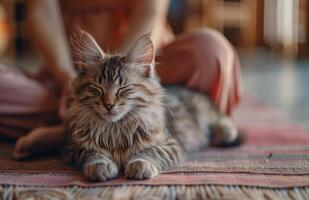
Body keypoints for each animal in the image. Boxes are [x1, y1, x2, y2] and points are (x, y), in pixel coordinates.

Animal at [65, 30, 238, 181]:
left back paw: (225, 131)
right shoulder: (73, 147)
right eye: (98, 88)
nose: (108, 105)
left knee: (221, 118)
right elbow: (91, 153)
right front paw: (100, 165)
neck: (116, 129)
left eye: (123, 89)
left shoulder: (170, 143)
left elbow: (153, 151)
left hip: (204, 111)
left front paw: (141, 164)